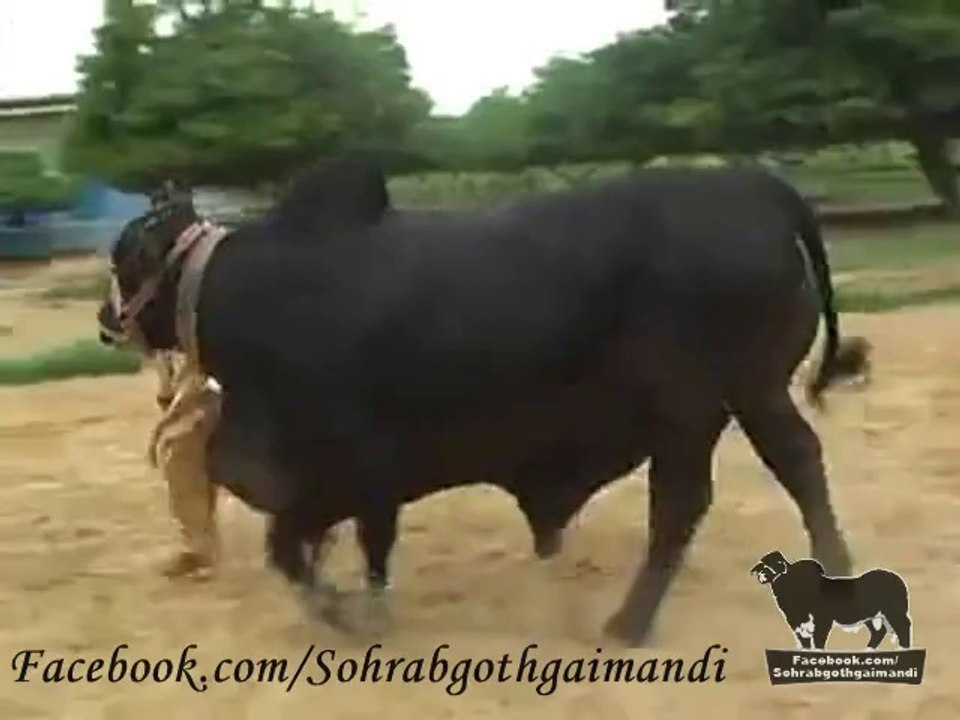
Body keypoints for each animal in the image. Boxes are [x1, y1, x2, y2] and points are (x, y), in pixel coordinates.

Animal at [97, 154, 869, 647]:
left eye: (126, 256)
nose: (107, 320)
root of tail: (746, 183)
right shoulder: (355, 485)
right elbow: (353, 547)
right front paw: (363, 604)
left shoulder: (342, 471)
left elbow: (293, 549)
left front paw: (347, 615)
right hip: (755, 392)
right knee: (797, 459)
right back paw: (837, 572)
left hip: (691, 409)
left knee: (683, 503)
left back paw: (628, 624)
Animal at [751, 550, 912, 650]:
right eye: (762, 565)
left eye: (778, 565)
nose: (761, 576)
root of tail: (896, 578)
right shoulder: (796, 624)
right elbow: (805, 643)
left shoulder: (823, 620)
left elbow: (819, 641)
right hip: (872, 616)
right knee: (879, 632)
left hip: (895, 612)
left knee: (903, 627)